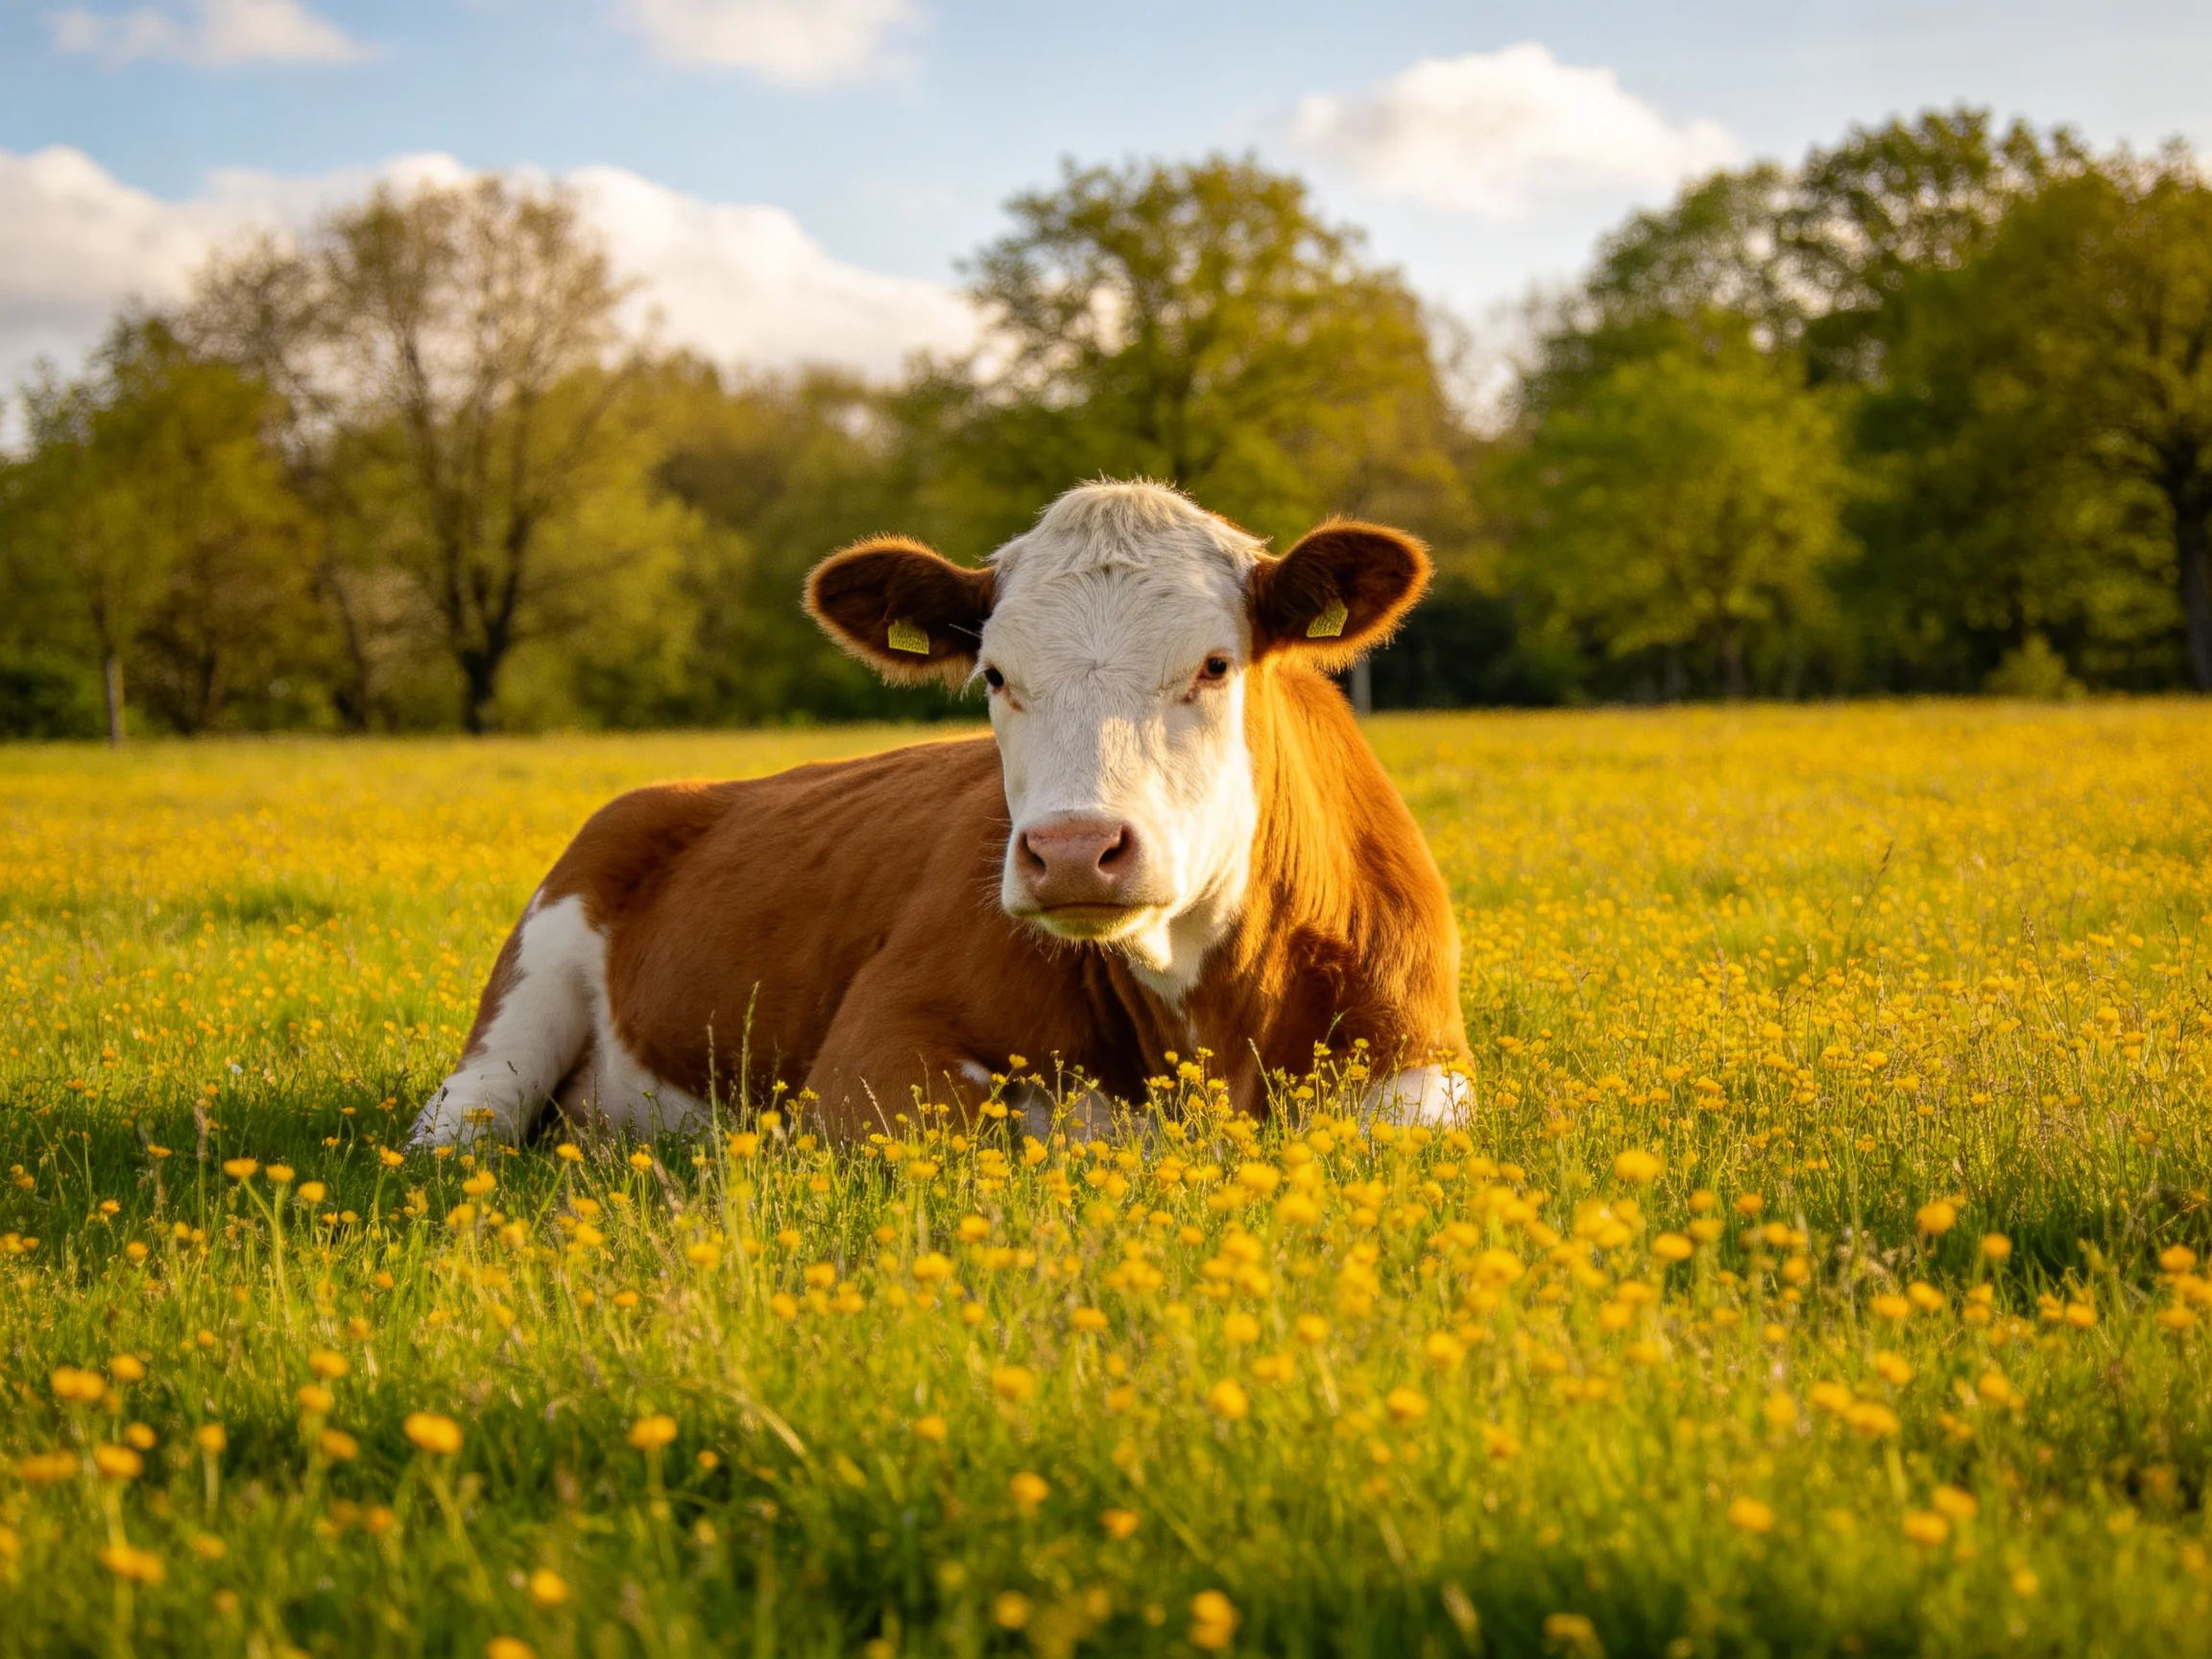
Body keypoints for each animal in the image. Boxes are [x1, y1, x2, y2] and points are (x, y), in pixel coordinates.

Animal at [408, 480, 1468, 1148]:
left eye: (1214, 664)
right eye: (995, 674)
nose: (1074, 850)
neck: (1204, 1013)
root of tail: (686, 790)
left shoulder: (1426, 1061)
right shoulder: (871, 1051)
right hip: (521, 1002)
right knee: (461, 1126)